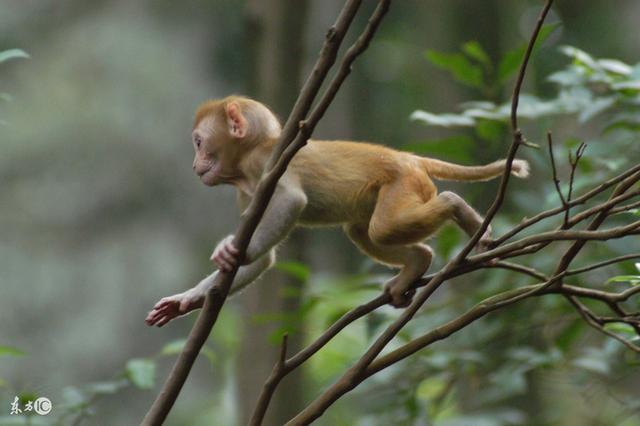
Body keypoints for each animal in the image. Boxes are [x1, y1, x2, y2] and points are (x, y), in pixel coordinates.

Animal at [146, 94, 528, 326]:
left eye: (199, 143)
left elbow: (291, 201)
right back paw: (417, 263)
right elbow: (266, 260)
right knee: (362, 231)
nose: (195, 165)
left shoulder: (266, 165)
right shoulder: (246, 195)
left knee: (384, 228)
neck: (248, 163)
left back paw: (456, 207)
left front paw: (236, 251)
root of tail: (411, 158)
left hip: (404, 183)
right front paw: (188, 300)